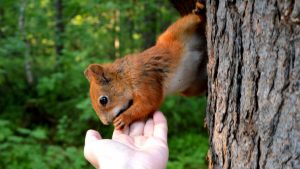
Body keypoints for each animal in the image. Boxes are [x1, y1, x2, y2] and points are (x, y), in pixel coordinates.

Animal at [84, 1, 206, 129]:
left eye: (103, 100)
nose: (106, 123)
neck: (126, 75)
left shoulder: (144, 78)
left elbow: (148, 102)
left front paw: (123, 118)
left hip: (180, 28)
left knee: (194, 19)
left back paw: (200, 10)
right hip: (191, 87)